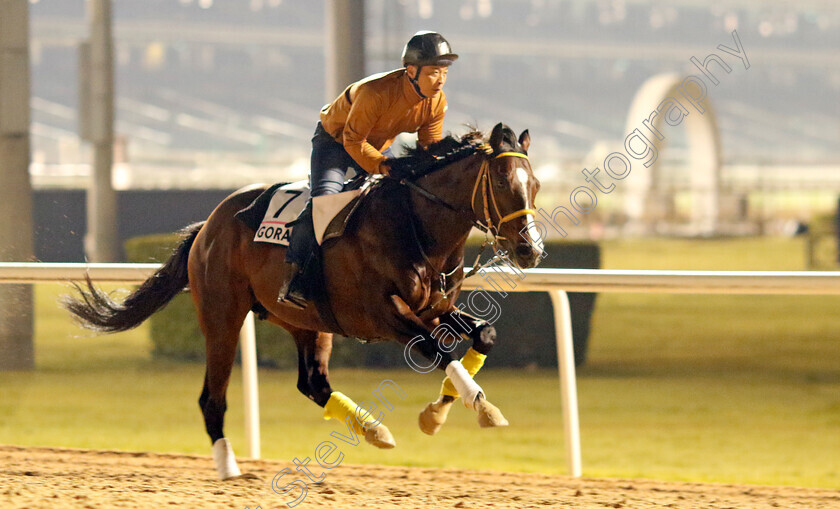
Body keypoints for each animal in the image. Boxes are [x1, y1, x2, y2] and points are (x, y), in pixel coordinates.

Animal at [62, 121, 540, 478]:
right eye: (502, 180)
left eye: (533, 184)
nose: (530, 250)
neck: (414, 226)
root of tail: (208, 226)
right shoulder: (386, 314)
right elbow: (438, 351)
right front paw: (480, 407)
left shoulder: (435, 309)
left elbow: (483, 336)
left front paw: (438, 412)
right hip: (222, 316)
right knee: (211, 397)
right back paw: (229, 465)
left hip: (307, 322)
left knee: (312, 382)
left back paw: (373, 430)